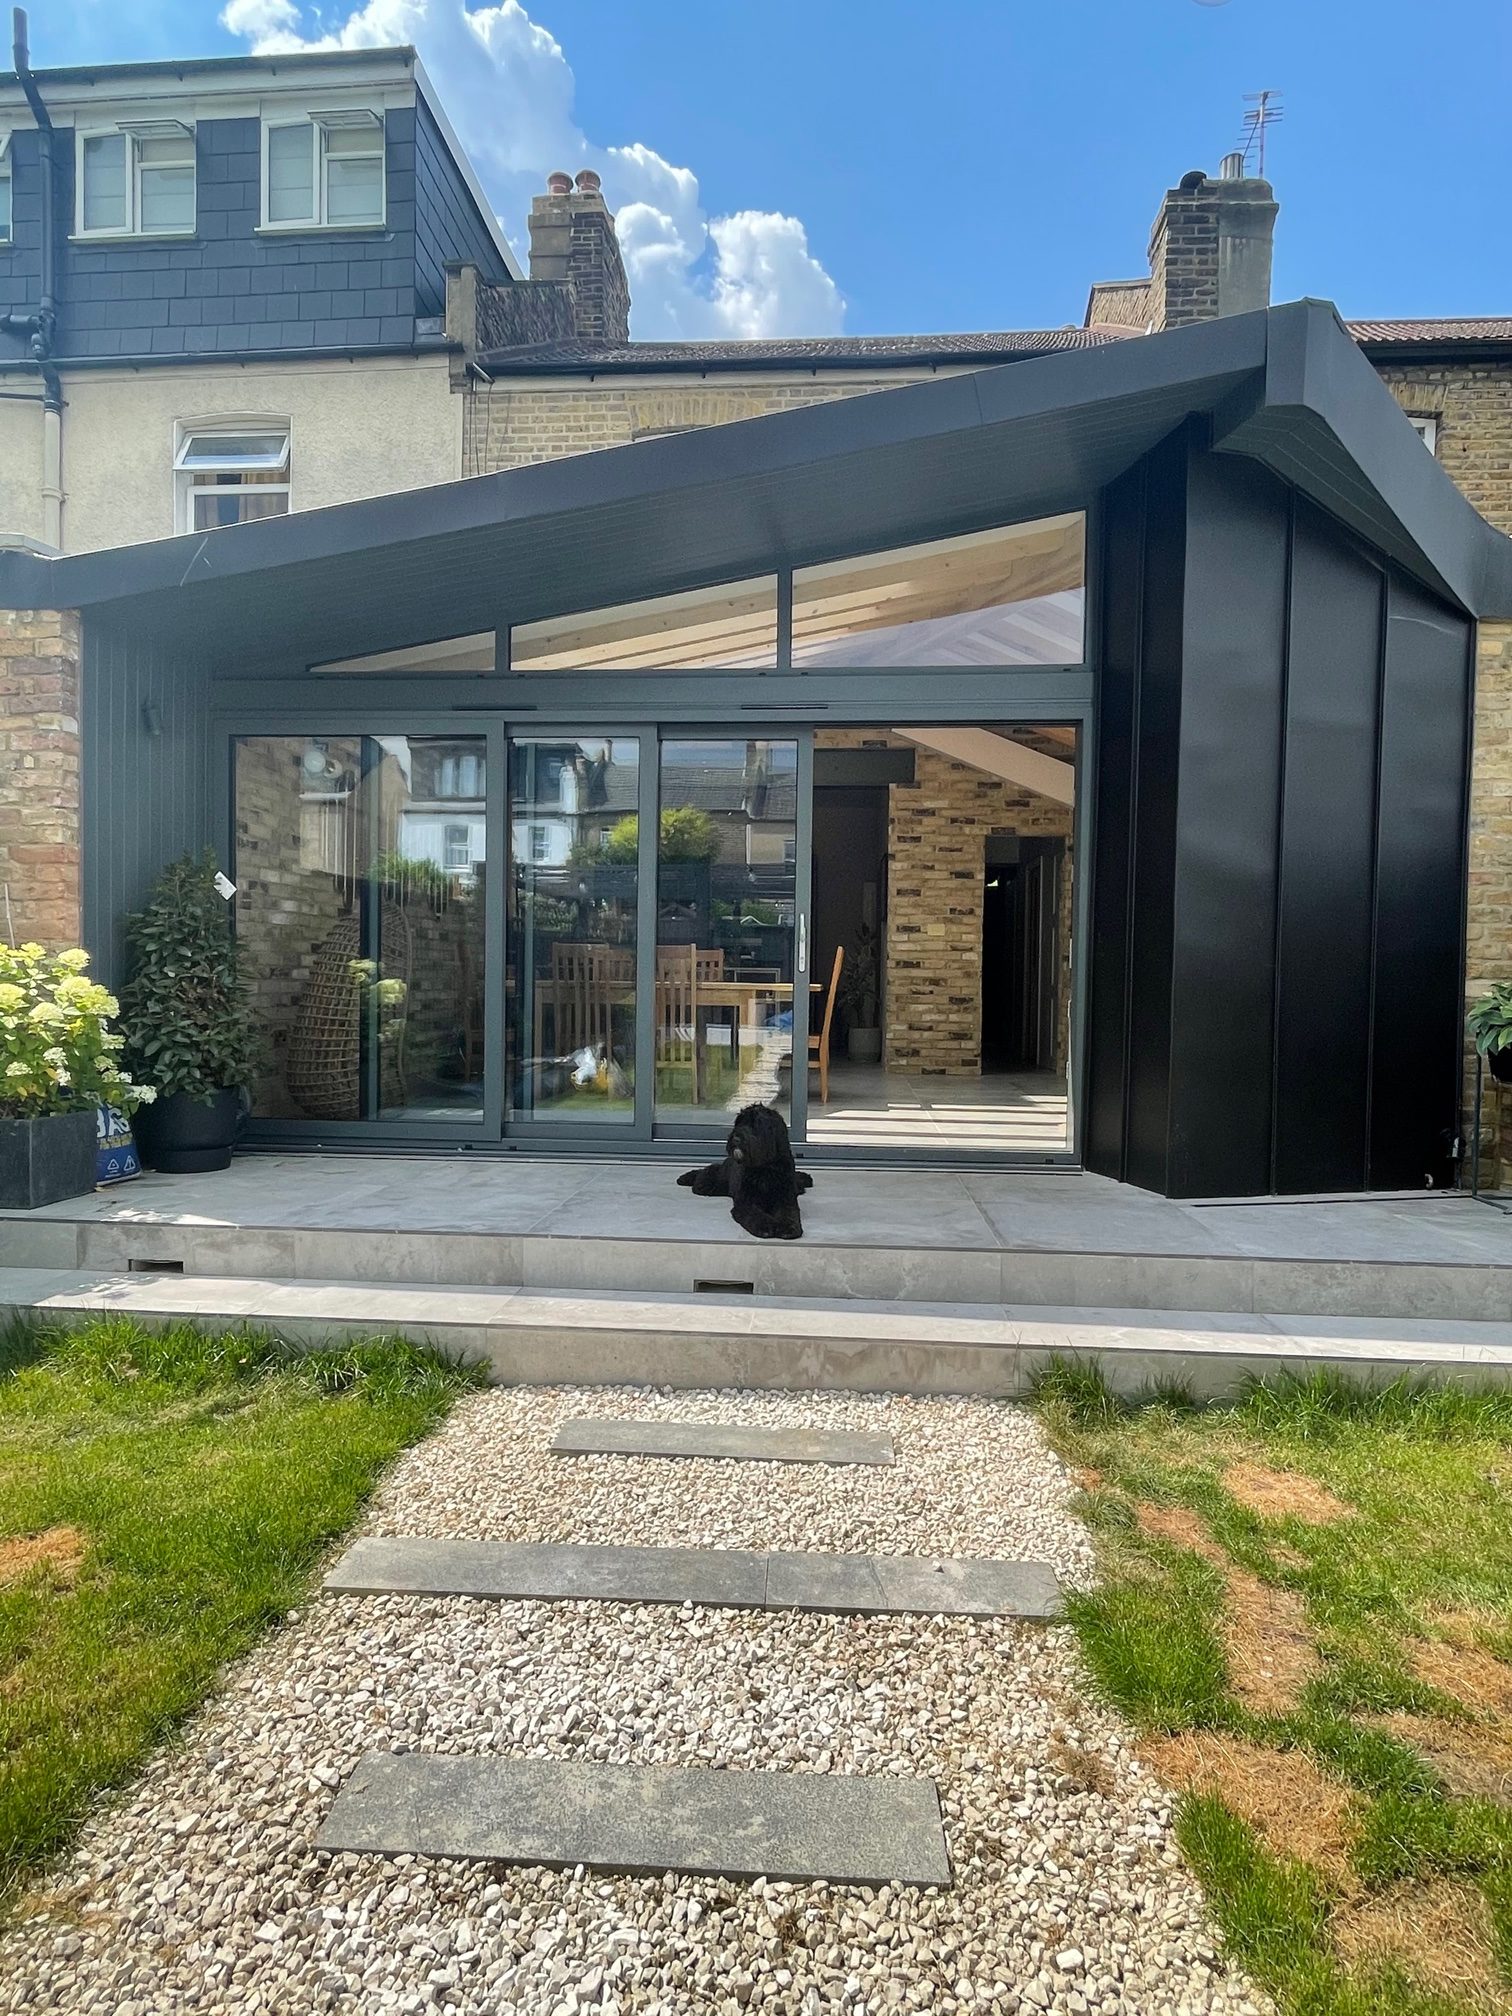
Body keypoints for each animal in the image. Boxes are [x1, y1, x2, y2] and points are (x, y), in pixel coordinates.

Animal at [677, 1104, 818, 1241]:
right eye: (739, 1123)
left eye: (756, 1125)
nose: (735, 1137)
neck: (764, 1168)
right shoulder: (746, 1202)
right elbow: (755, 1213)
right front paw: (766, 1226)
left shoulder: (786, 1199)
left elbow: (788, 1213)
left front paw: (788, 1228)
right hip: (710, 1184)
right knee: (703, 1175)